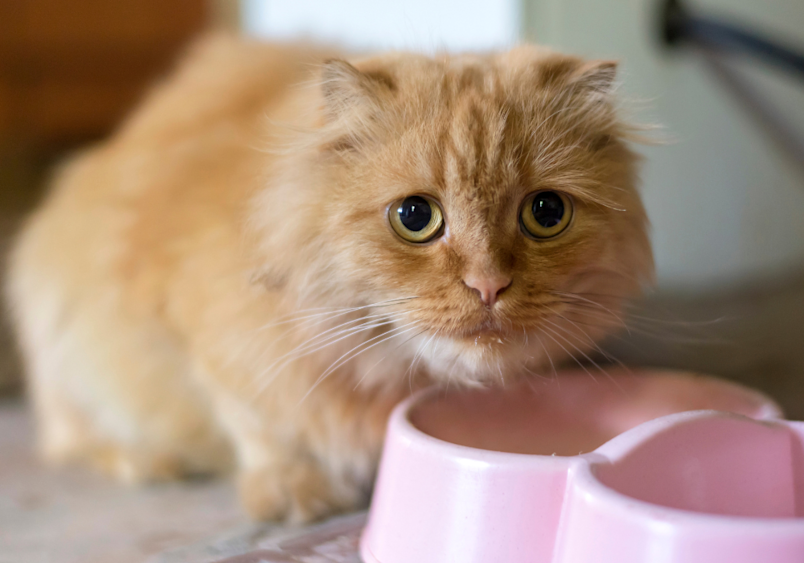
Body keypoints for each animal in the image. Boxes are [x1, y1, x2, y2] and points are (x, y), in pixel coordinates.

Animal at [6, 35, 652, 524]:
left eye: (546, 213)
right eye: (415, 217)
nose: (488, 285)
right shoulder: (202, 340)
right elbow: (256, 425)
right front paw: (296, 493)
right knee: (75, 438)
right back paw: (149, 463)